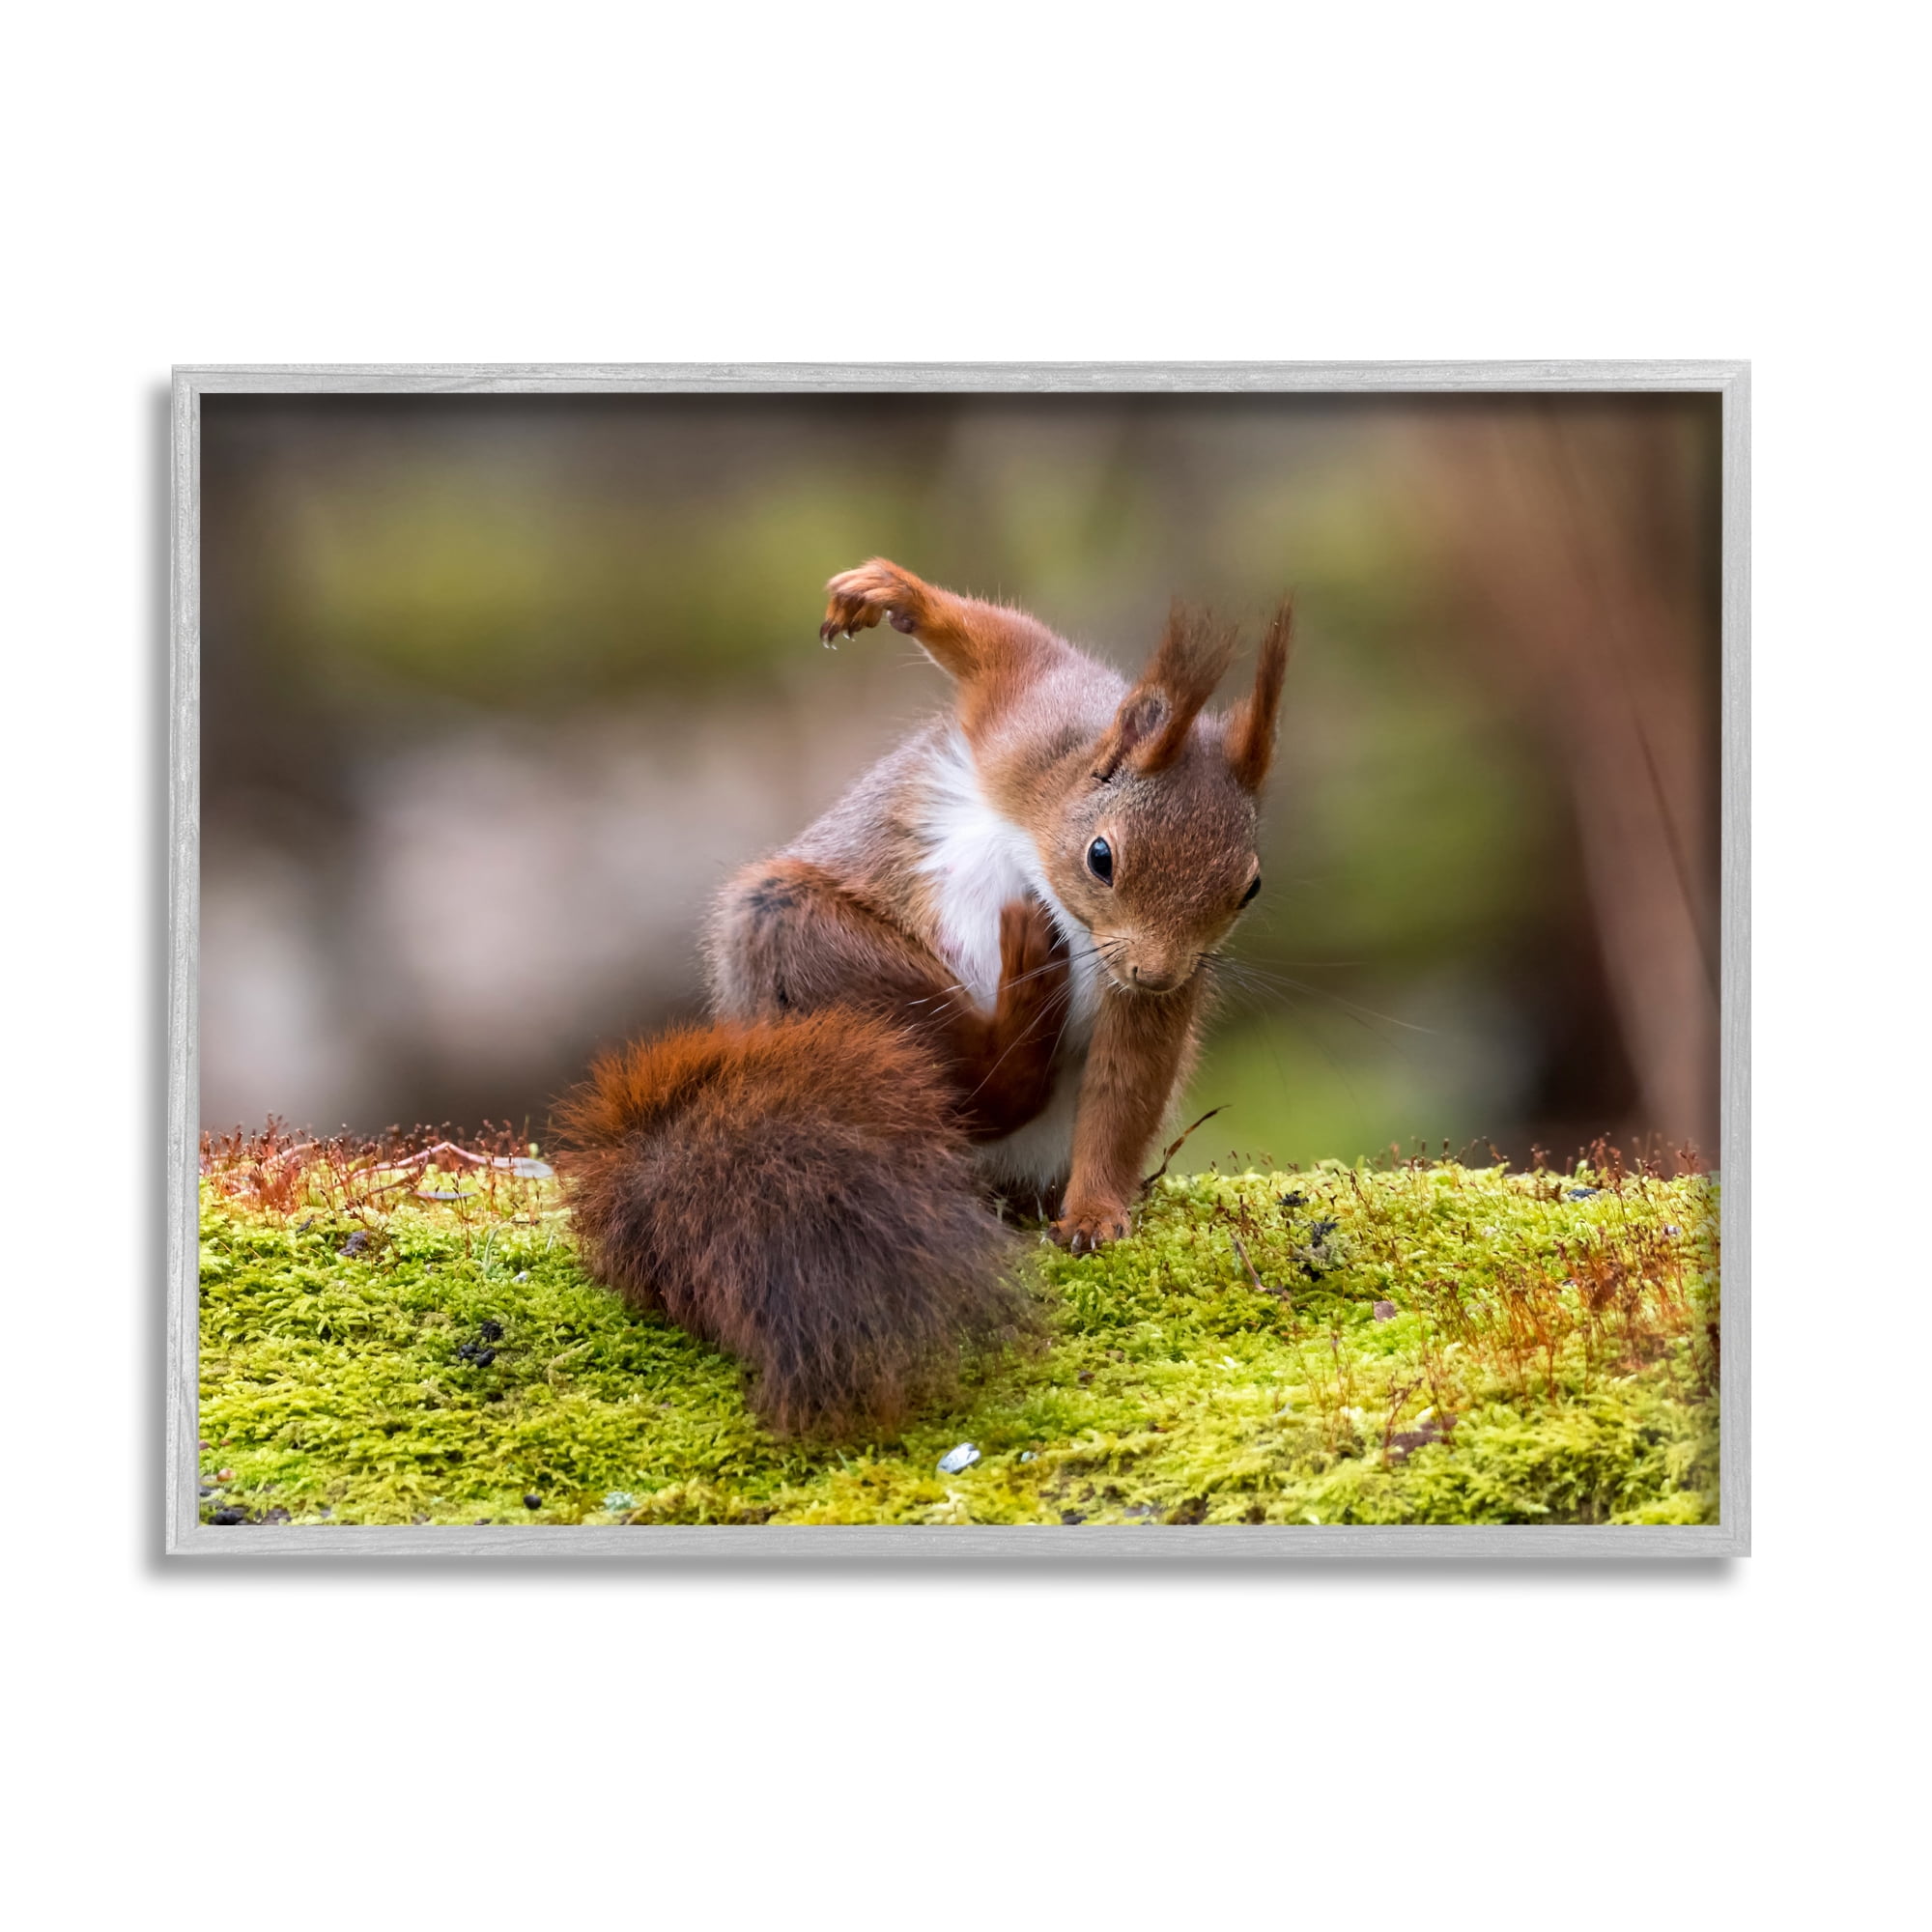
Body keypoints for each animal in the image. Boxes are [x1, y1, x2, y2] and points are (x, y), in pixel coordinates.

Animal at [558, 558, 1291, 1436]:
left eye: (1250, 888)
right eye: (1102, 856)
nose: (1157, 972)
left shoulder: (1144, 995)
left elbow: (1125, 1091)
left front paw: (1093, 1215)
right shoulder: (1029, 721)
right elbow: (1001, 643)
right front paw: (889, 594)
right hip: (798, 935)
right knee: (975, 1085)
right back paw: (1021, 999)